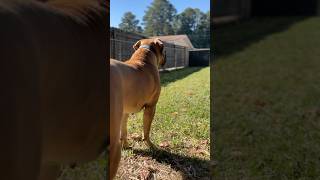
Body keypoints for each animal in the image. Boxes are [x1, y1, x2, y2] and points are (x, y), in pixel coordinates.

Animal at [109, 38, 166, 179]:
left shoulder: (125, 112)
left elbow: (124, 131)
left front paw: (126, 145)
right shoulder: (151, 107)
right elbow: (146, 131)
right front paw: (150, 145)